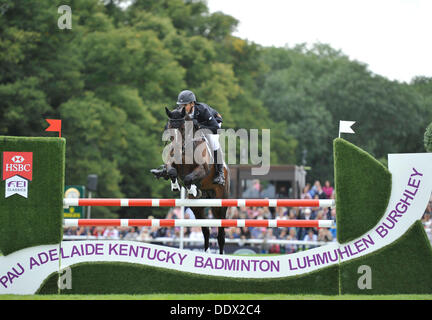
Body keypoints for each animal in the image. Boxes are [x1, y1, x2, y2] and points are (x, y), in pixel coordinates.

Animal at [163, 106, 230, 254]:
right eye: (169, 126)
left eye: (182, 128)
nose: (176, 148)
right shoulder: (172, 163)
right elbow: (172, 171)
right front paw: (176, 185)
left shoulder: (202, 169)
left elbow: (189, 177)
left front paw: (192, 188)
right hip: (197, 208)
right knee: (206, 230)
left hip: (220, 203)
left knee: (221, 234)